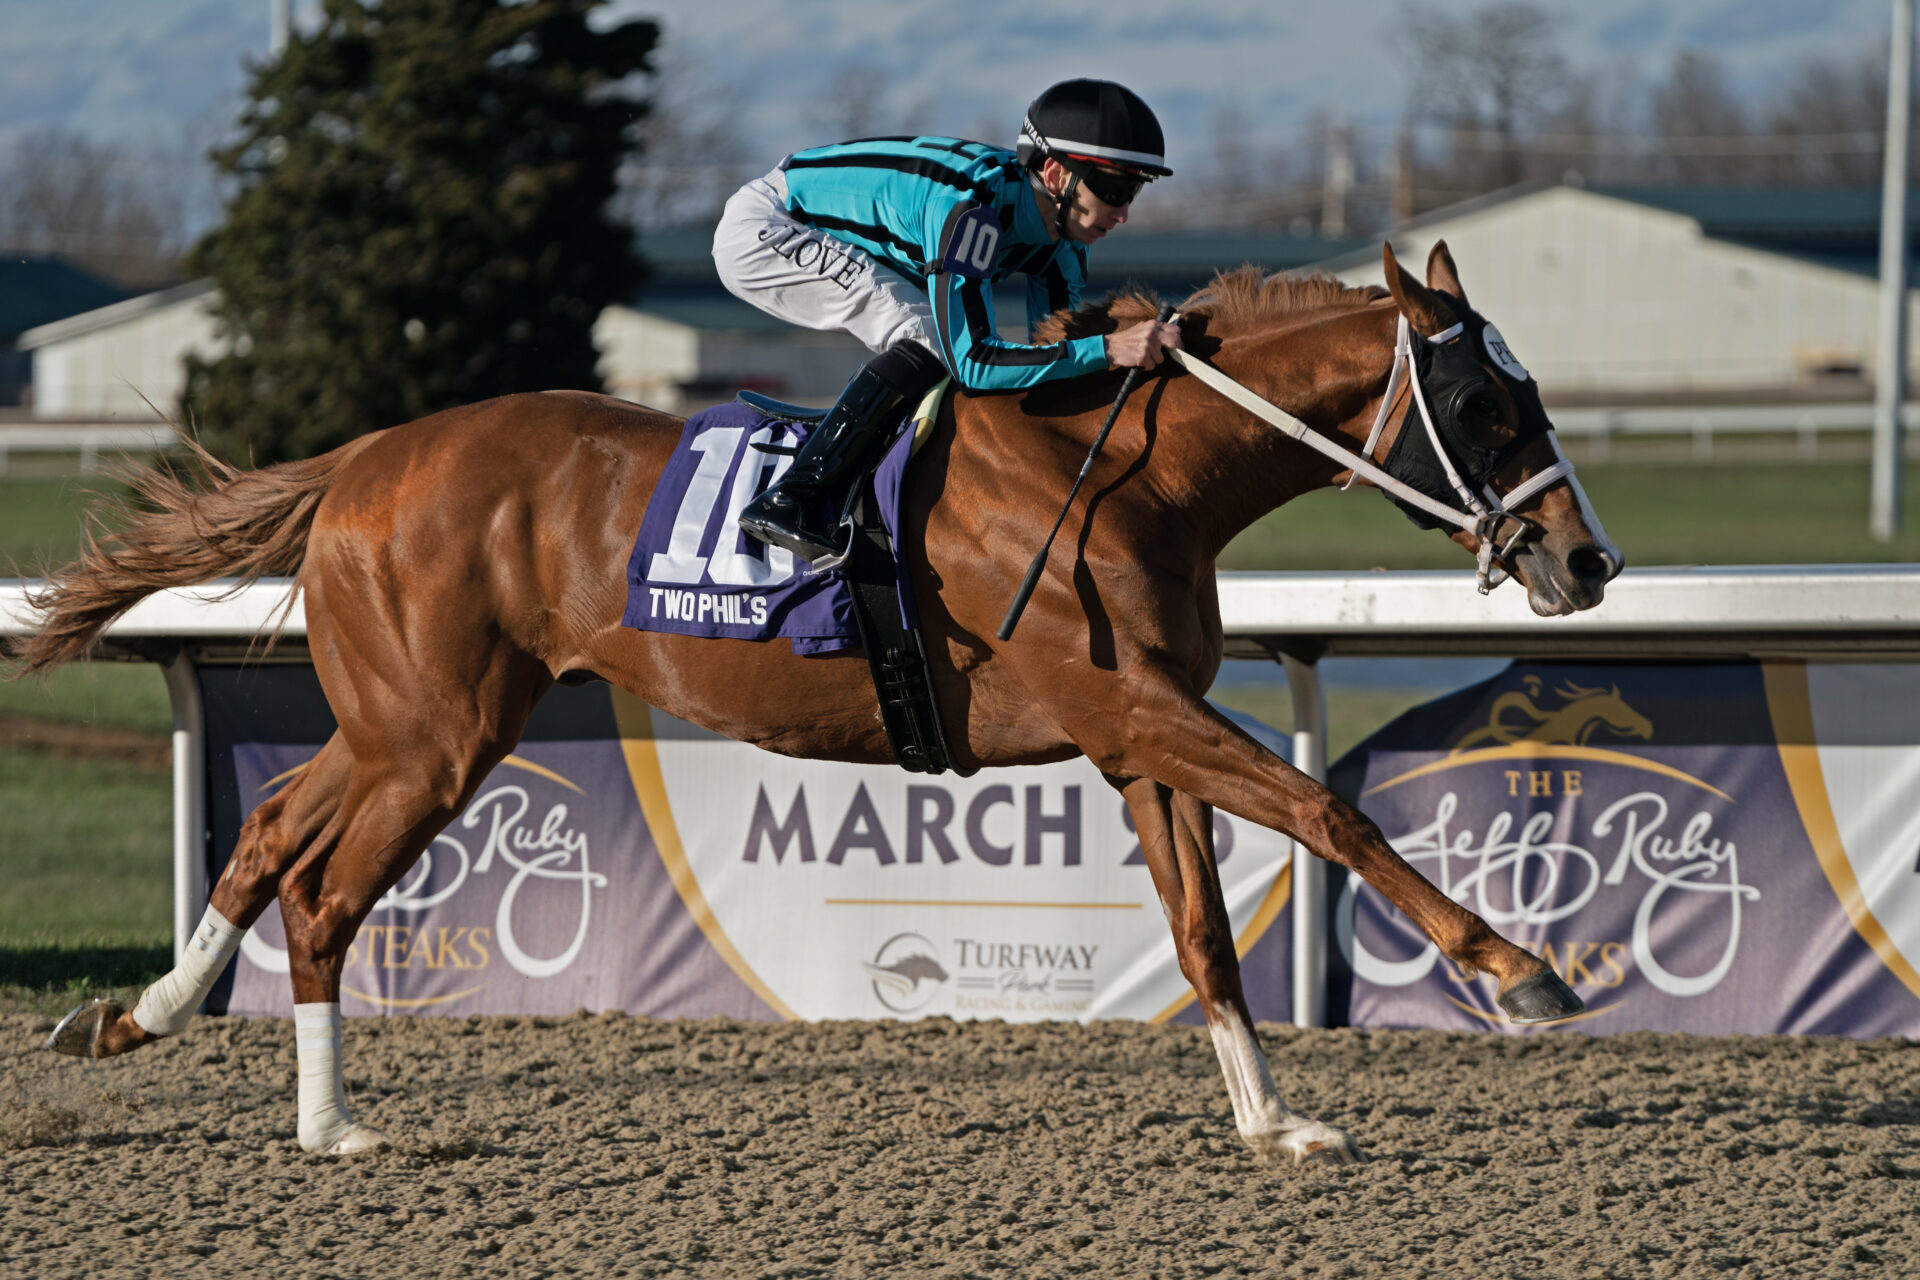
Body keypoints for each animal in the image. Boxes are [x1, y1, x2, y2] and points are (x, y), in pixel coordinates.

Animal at [20, 241, 1622, 1166]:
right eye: (1484, 405)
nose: (1586, 560)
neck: (1124, 471)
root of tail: (358, 461)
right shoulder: (1132, 714)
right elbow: (1325, 807)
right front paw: (1519, 968)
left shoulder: (1140, 741)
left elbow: (1203, 932)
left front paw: (1275, 1118)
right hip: (436, 736)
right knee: (323, 890)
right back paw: (331, 1124)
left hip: (400, 721)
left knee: (270, 826)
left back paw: (135, 1018)